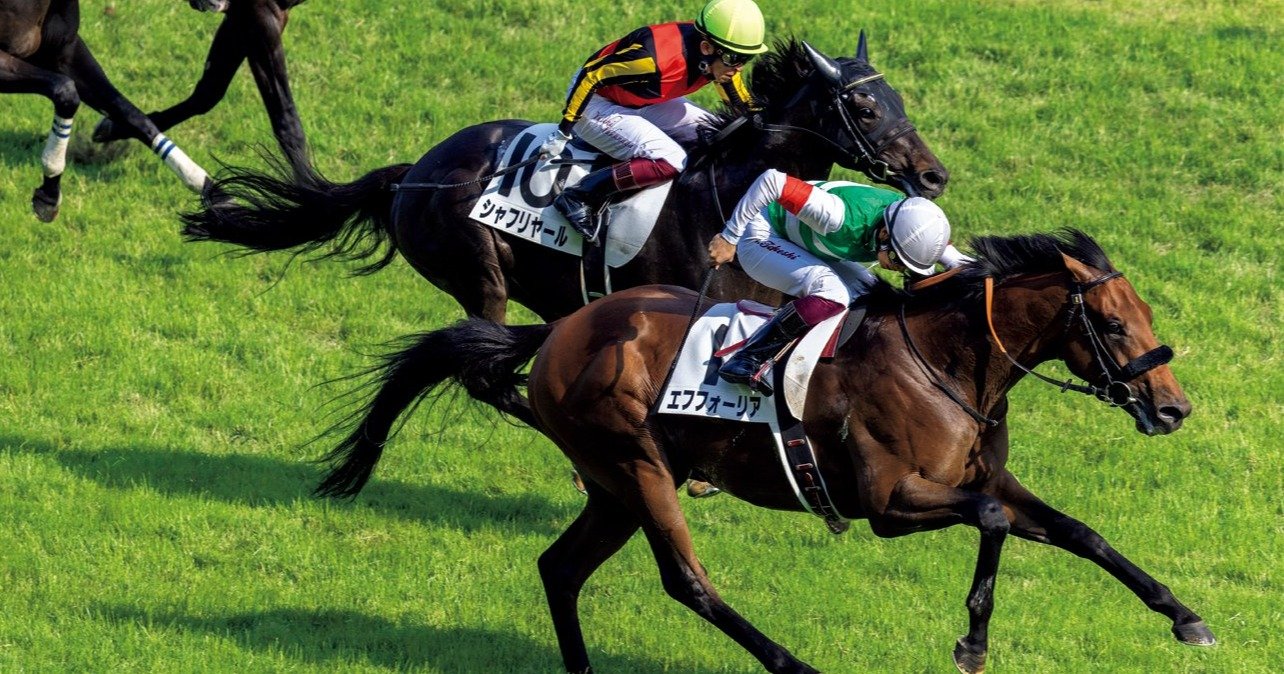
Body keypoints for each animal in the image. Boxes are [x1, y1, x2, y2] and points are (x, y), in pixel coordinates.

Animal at [180, 36, 949, 323]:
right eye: (865, 107)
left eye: (900, 98)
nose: (933, 174)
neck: (727, 198)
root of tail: (413, 176)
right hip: (478, 275)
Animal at [312, 230, 1215, 673]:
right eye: (1112, 322)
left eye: (1143, 313)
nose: (1172, 408)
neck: (946, 362)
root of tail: (561, 327)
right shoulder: (889, 504)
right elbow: (993, 519)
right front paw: (973, 642)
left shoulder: (983, 475)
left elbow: (1079, 533)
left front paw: (1186, 616)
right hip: (638, 467)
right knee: (686, 581)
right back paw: (792, 665)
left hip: (614, 487)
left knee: (560, 569)